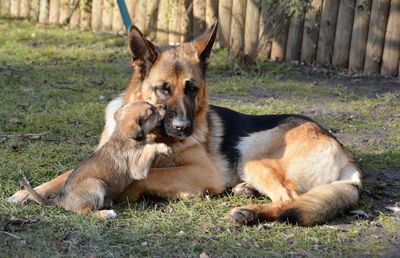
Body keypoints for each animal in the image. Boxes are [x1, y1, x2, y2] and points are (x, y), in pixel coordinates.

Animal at [19, 102, 170, 219]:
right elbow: (149, 149)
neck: (123, 135)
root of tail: (61, 200)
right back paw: (106, 213)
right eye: (151, 111)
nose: (164, 105)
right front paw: (163, 147)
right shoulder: (137, 168)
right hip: (96, 184)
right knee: (86, 212)